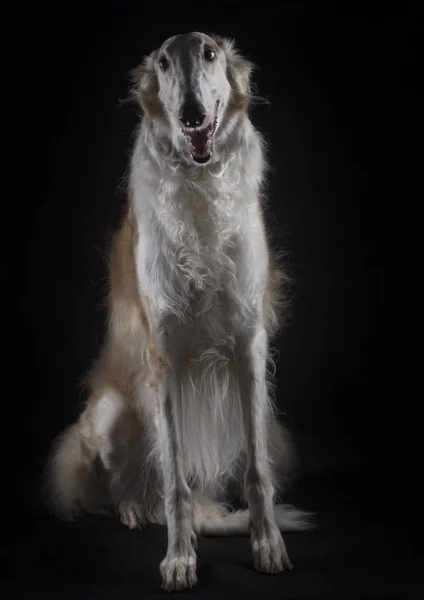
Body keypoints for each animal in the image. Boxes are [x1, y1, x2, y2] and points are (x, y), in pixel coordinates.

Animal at [46, 32, 314, 592]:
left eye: (210, 54)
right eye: (165, 63)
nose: (191, 114)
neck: (200, 184)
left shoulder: (249, 342)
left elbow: (258, 474)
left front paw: (267, 544)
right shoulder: (162, 352)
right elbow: (175, 483)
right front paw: (179, 558)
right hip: (108, 413)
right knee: (134, 486)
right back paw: (132, 508)